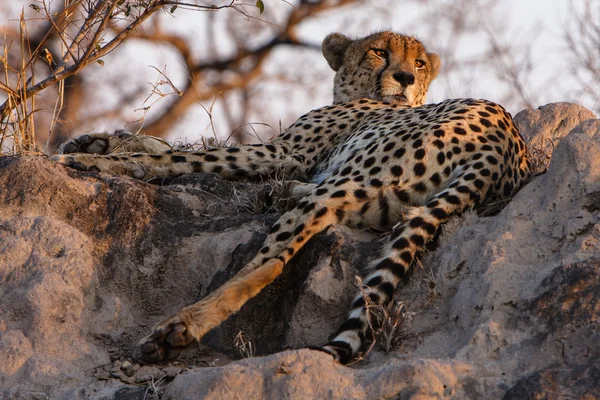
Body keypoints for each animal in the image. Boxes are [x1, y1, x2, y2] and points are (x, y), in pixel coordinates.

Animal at [50, 31, 528, 364]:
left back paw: (179, 327)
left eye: (420, 62)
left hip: (345, 186)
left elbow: (188, 157)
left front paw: (101, 162)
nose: (407, 78)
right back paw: (277, 194)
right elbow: (184, 145)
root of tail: (504, 146)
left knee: (272, 260)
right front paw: (98, 142)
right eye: (379, 52)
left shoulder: (283, 153)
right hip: (380, 197)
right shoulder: (289, 157)